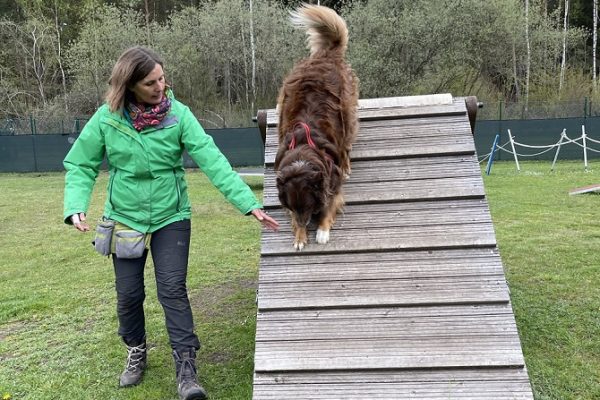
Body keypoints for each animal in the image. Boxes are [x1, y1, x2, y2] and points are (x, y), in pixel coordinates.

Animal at [276, 4, 358, 250]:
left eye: (309, 206)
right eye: (293, 207)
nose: (305, 223)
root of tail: (325, 56)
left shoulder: (333, 182)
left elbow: (329, 205)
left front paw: (321, 230)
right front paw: (299, 236)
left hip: (346, 115)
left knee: (346, 145)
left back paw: (348, 165)